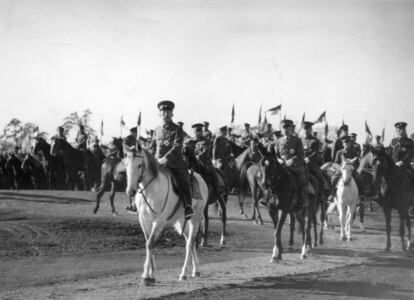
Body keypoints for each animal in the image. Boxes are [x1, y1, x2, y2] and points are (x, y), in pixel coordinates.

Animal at [123, 148, 207, 286]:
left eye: (139, 165)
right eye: (126, 164)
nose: (130, 191)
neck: (150, 190)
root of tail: (200, 179)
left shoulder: (158, 221)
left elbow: (150, 244)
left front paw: (146, 276)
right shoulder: (144, 220)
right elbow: (149, 243)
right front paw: (151, 275)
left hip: (196, 218)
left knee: (189, 243)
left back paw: (183, 274)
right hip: (181, 221)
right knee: (191, 241)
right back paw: (196, 270)